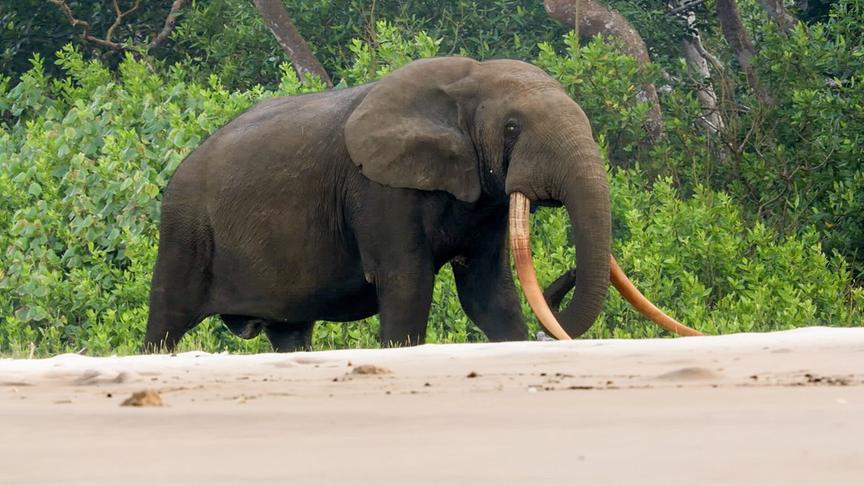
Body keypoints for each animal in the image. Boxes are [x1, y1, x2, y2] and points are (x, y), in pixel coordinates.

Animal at [145, 56, 700, 353]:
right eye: (512, 129)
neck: (465, 85)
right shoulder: (378, 191)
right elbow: (407, 285)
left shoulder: (483, 198)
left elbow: (488, 292)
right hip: (185, 230)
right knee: (167, 320)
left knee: (290, 333)